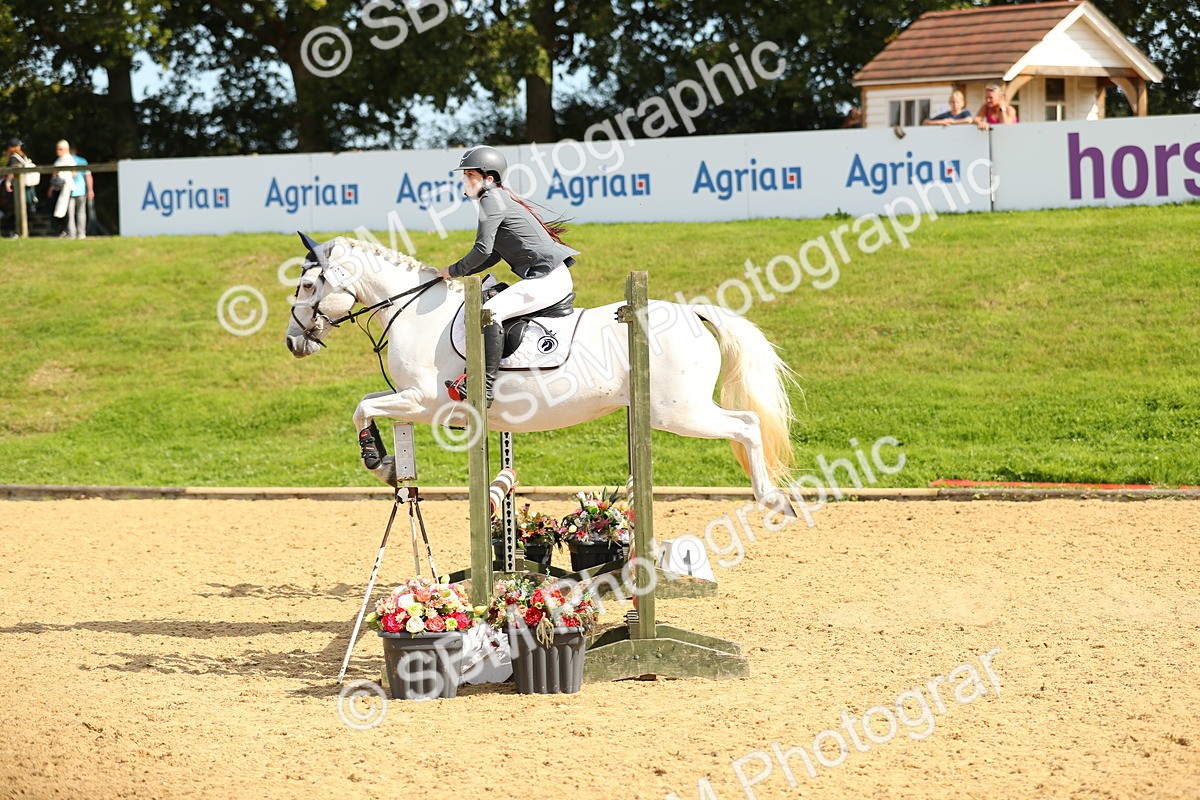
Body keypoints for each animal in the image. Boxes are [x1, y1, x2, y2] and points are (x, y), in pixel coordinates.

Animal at [284, 235, 800, 517]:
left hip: (677, 411)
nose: (293, 342)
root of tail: (693, 313)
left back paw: (771, 499)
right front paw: (390, 463)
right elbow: (367, 403)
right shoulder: (410, 398)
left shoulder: (424, 400)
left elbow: (361, 407)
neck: (414, 310)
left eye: (308, 285)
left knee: (746, 426)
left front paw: (381, 462)